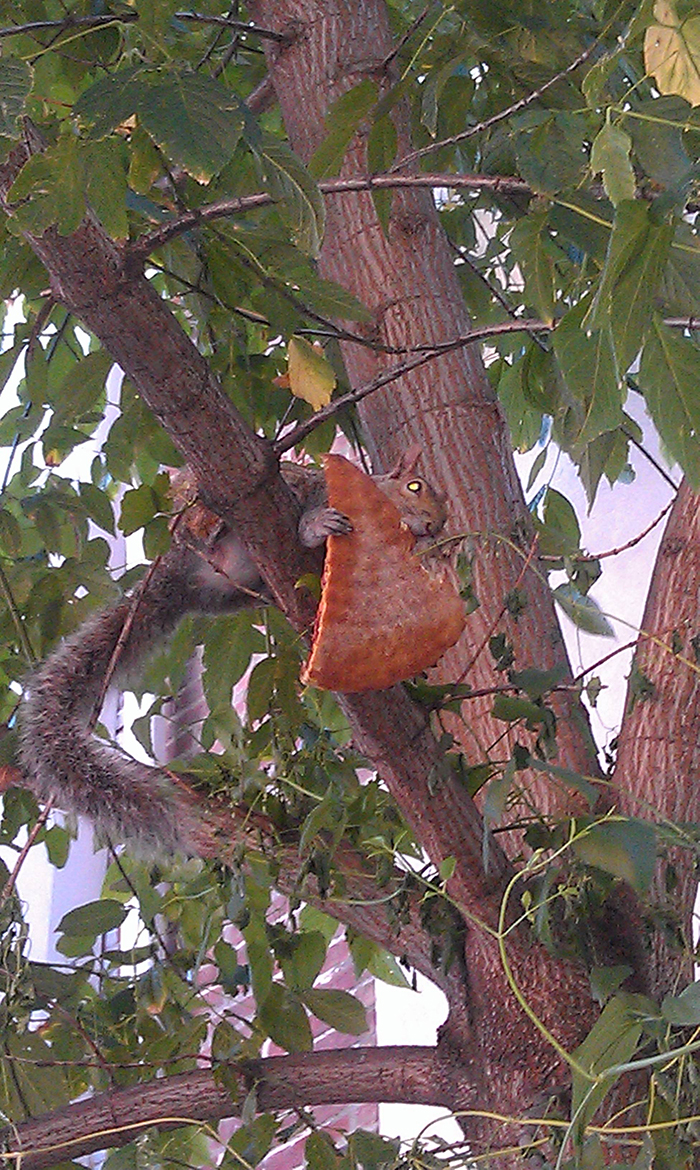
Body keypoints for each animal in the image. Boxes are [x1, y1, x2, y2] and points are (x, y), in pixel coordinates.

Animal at [20, 451, 449, 856]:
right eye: (415, 486)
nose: (434, 526)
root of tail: (179, 577)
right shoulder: (324, 490)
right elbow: (312, 505)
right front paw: (315, 526)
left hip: (231, 593)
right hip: (195, 522)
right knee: (207, 526)